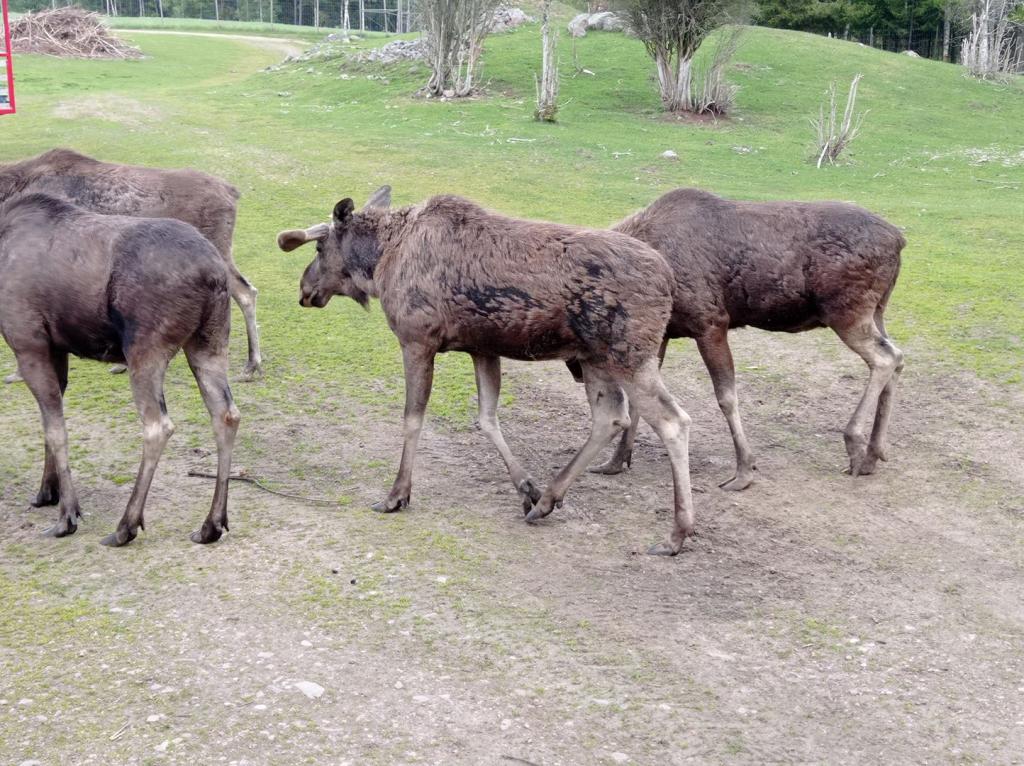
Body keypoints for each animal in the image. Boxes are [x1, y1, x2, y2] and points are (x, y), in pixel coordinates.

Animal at [0, 194, 241, 548]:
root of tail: (213, 274)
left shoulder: (28, 343)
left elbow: (56, 429)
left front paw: (67, 515)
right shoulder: (55, 348)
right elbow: (49, 425)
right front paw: (47, 491)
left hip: (145, 348)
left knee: (158, 426)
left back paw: (126, 525)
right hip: (209, 341)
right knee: (226, 414)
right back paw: (212, 524)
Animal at [276, 188, 700, 552]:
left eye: (320, 246)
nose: (304, 290)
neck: (380, 263)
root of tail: (668, 280)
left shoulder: (416, 339)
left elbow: (413, 419)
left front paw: (396, 495)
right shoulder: (481, 348)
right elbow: (487, 417)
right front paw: (527, 488)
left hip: (629, 355)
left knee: (673, 420)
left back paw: (677, 533)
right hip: (595, 359)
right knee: (610, 417)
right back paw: (548, 499)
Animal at [581, 188, 909, 487]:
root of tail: (899, 240)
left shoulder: (711, 322)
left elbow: (726, 397)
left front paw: (744, 470)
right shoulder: (660, 335)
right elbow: (640, 403)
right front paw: (616, 460)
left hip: (847, 312)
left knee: (886, 358)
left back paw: (855, 443)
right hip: (877, 310)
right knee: (899, 358)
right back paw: (873, 453)